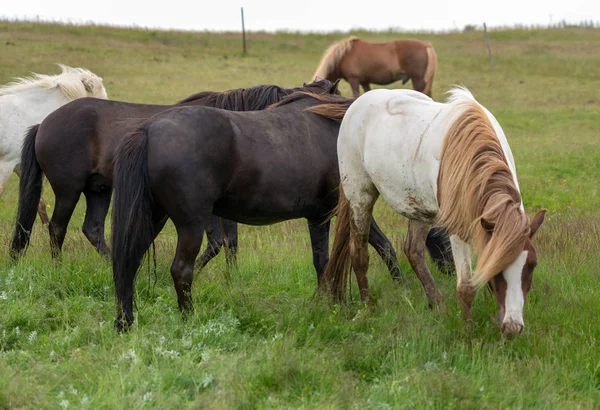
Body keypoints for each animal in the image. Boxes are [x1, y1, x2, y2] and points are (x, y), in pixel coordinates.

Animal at [9, 79, 340, 264]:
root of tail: (43, 124)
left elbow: (229, 243)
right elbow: (218, 243)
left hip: (98, 189)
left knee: (92, 229)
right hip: (69, 190)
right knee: (57, 228)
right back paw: (58, 267)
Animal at [110, 92, 450, 330]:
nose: (449, 268)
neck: (352, 132)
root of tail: (149, 130)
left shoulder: (327, 213)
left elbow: (343, 255)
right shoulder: (332, 212)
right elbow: (357, 253)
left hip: (154, 218)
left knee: (129, 263)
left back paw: (125, 322)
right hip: (190, 224)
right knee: (180, 270)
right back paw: (188, 319)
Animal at [322, 86, 548, 336]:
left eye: (532, 265)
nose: (513, 327)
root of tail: (356, 104)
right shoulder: (460, 229)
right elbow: (467, 286)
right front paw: (469, 335)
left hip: (420, 207)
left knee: (413, 251)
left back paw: (437, 305)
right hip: (359, 196)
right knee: (359, 254)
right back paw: (368, 308)